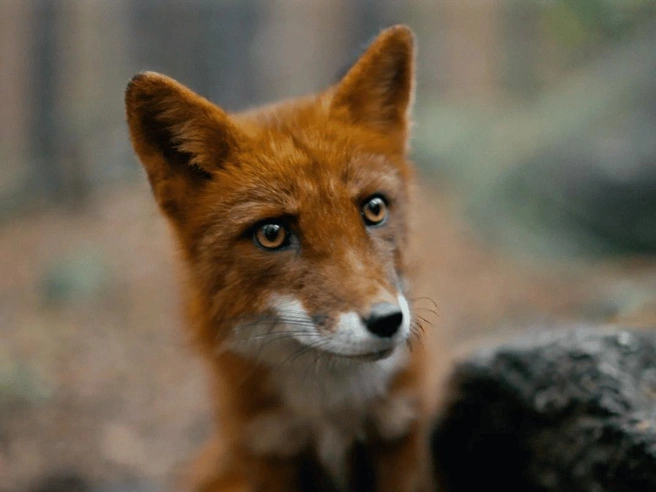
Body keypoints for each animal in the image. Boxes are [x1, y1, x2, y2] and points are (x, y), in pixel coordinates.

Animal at [125, 25, 436, 491]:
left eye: (374, 209)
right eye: (272, 234)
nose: (387, 321)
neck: (330, 413)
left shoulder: (399, 431)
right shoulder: (266, 447)